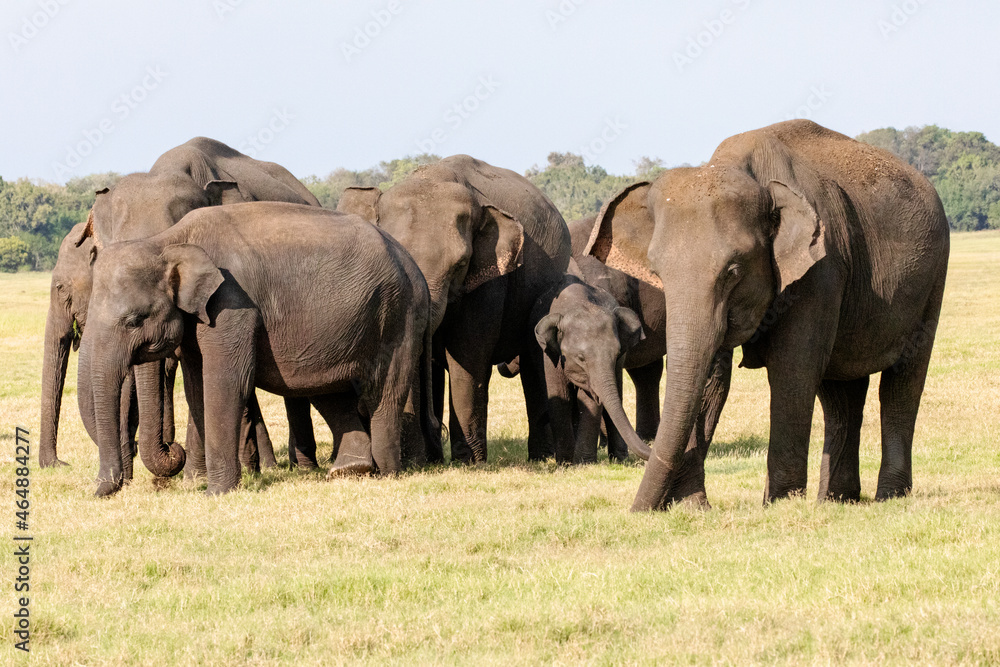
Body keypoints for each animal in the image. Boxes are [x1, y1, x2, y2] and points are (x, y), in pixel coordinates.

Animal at [79, 202, 437, 496]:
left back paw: (387, 474)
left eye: (134, 320)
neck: (168, 240)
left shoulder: (232, 304)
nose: (99, 492)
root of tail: (415, 267)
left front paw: (216, 494)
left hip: (399, 316)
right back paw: (349, 470)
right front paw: (206, 486)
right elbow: (197, 387)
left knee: (382, 394)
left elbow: (226, 383)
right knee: (330, 391)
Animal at [338, 155, 571, 463]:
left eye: (460, 265)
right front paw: (416, 462)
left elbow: (468, 357)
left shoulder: (489, 281)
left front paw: (468, 462)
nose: (436, 427)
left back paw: (541, 458)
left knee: (533, 363)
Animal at [586, 120, 950, 511]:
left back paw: (889, 496)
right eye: (656, 271)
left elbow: (793, 368)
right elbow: (712, 378)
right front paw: (694, 506)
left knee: (902, 382)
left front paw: (779, 503)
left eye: (733, 271)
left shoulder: (821, 267)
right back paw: (836, 500)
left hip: (933, 279)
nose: (637, 511)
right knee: (841, 390)